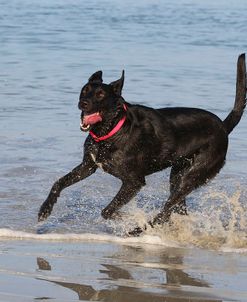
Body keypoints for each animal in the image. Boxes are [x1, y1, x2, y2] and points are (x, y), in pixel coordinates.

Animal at [38, 56, 245, 236]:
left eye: (100, 94)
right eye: (84, 89)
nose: (83, 103)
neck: (110, 131)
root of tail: (223, 127)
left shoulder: (134, 182)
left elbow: (108, 211)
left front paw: (127, 217)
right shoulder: (88, 166)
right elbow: (58, 182)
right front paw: (45, 209)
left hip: (195, 174)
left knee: (165, 211)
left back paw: (138, 230)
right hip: (178, 174)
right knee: (175, 208)